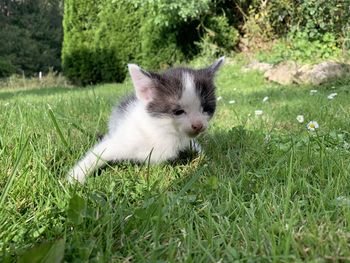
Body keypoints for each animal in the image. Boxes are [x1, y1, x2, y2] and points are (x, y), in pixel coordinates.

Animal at [68, 56, 224, 185]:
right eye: (178, 112)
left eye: (206, 109)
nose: (198, 125)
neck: (163, 131)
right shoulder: (123, 139)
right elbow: (98, 153)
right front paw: (75, 177)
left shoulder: (187, 140)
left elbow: (197, 148)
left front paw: (213, 164)